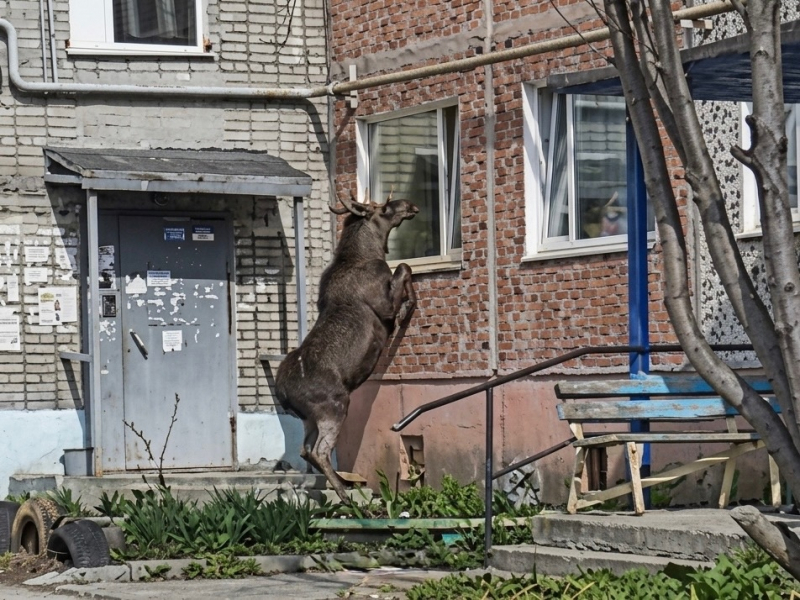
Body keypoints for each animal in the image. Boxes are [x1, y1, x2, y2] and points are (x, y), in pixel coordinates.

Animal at [275, 191, 418, 503]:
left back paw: (344, 484)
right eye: (382, 208)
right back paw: (346, 495)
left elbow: (404, 268)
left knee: (305, 449)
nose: (410, 204)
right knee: (320, 450)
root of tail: (282, 394)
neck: (369, 252)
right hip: (334, 404)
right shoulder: (383, 303)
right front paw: (409, 306)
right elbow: (404, 267)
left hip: (308, 417)